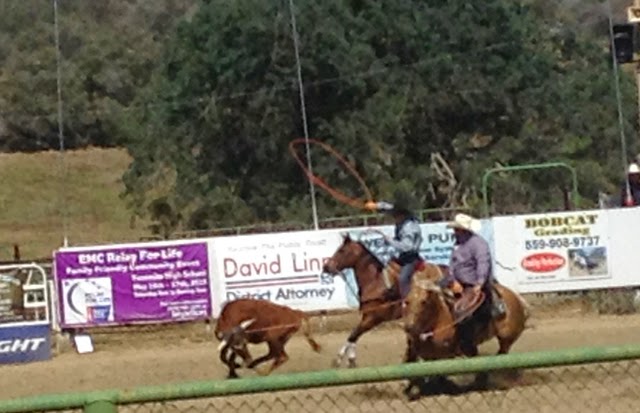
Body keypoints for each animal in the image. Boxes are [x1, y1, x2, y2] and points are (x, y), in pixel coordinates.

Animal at [322, 233, 449, 368]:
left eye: (341, 250)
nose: (326, 267)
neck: (375, 282)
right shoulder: (367, 316)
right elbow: (353, 334)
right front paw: (346, 359)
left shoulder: (374, 318)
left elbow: (354, 335)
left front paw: (343, 359)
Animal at [402, 267, 530, 398]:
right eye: (407, 301)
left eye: (424, 301)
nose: (408, 327)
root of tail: (518, 299)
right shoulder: (414, 348)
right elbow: (408, 364)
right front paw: (409, 387)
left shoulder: (445, 353)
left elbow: (439, 371)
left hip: (506, 338)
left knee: (500, 356)